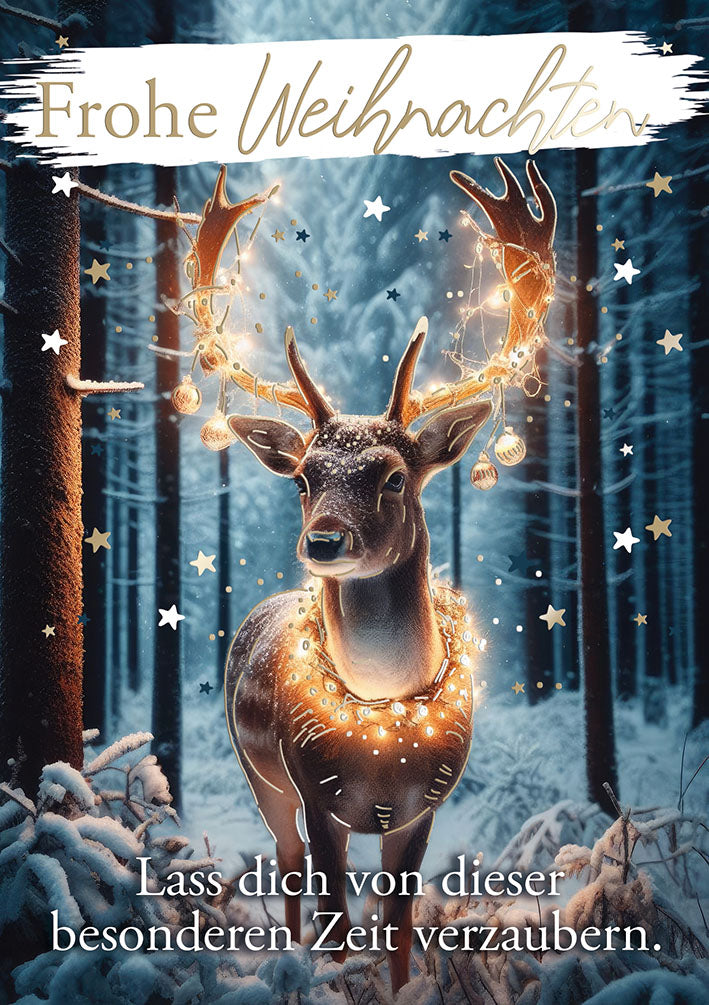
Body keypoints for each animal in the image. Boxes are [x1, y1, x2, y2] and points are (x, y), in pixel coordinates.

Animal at [223, 159, 556, 993]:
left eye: (393, 475)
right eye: (303, 477)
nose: (323, 540)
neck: (381, 722)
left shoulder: (420, 805)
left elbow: (398, 929)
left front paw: (399, 983)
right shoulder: (318, 793)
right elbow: (339, 924)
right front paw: (330, 976)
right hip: (261, 775)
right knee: (285, 865)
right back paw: (287, 959)